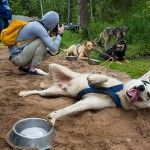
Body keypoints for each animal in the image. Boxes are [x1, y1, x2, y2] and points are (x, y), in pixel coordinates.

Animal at [19, 63, 150, 125]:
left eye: (149, 95)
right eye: (144, 82)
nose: (141, 87)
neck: (119, 94)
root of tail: (62, 83)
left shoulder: (88, 103)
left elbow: (68, 109)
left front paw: (55, 116)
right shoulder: (109, 80)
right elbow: (103, 77)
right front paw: (94, 79)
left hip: (53, 92)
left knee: (40, 93)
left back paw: (25, 93)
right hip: (59, 70)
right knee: (46, 76)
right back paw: (28, 86)